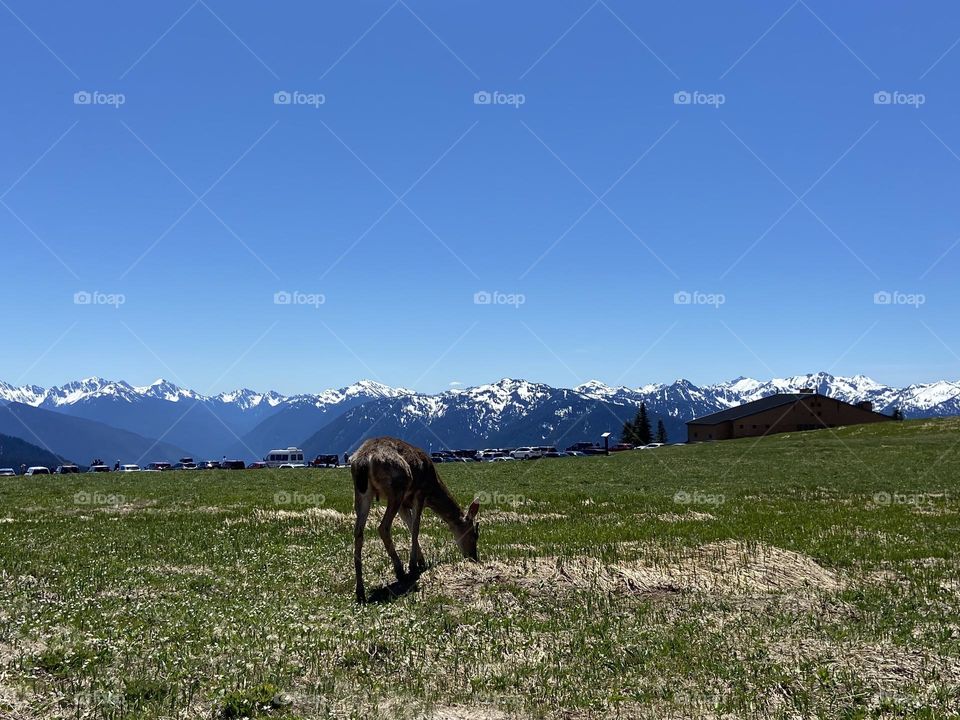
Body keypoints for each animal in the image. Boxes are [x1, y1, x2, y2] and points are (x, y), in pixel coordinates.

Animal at [350, 436, 480, 603]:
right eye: (474, 535)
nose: (473, 557)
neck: (433, 489)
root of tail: (364, 460)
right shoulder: (419, 494)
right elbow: (416, 527)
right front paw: (414, 565)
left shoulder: (404, 504)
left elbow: (410, 525)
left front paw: (421, 560)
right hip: (397, 488)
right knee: (383, 527)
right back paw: (400, 571)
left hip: (362, 492)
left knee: (358, 532)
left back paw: (360, 591)